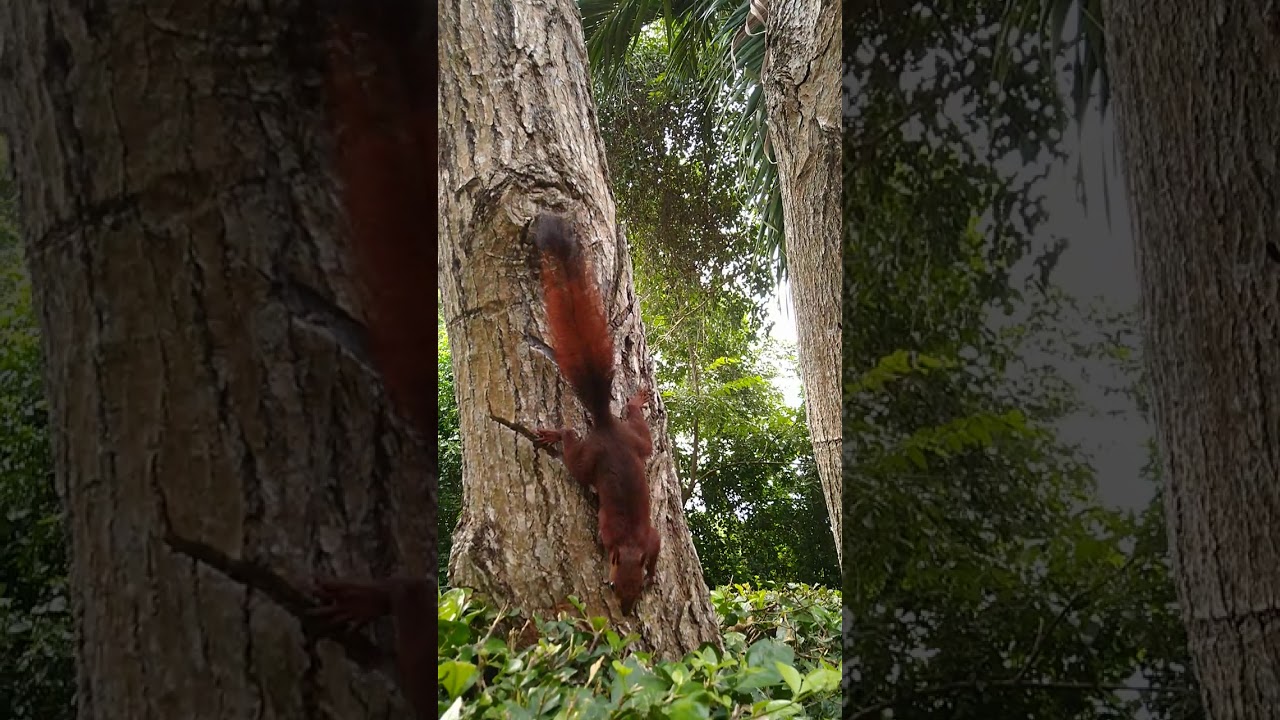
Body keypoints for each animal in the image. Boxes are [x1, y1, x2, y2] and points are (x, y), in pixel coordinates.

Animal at [530, 214, 661, 616]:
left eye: (634, 589)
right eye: (617, 586)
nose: (626, 610)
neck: (630, 543)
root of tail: (606, 424)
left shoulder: (650, 538)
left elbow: (657, 549)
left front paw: (653, 574)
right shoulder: (616, 535)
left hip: (622, 446)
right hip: (598, 454)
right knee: (579, 446)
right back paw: (557, 434)